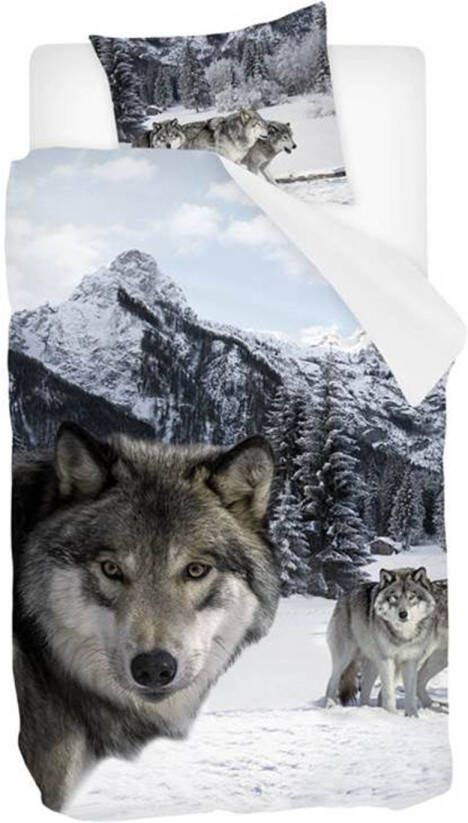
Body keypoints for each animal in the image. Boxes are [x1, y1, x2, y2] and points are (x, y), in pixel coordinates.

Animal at [325, 567, 438, 716]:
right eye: (395, 597)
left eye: (411, 597)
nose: (403, 614)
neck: (402, 635)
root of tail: (344, 595)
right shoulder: (387, 660)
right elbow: (389, 692)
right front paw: (392, 715)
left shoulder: (410, 661)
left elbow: (410, 693)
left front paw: (412, 716)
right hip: (344, 658)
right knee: (332, 681)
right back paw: (330, 705)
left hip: (372, 665)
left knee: (364, 693)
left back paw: (366, 710)